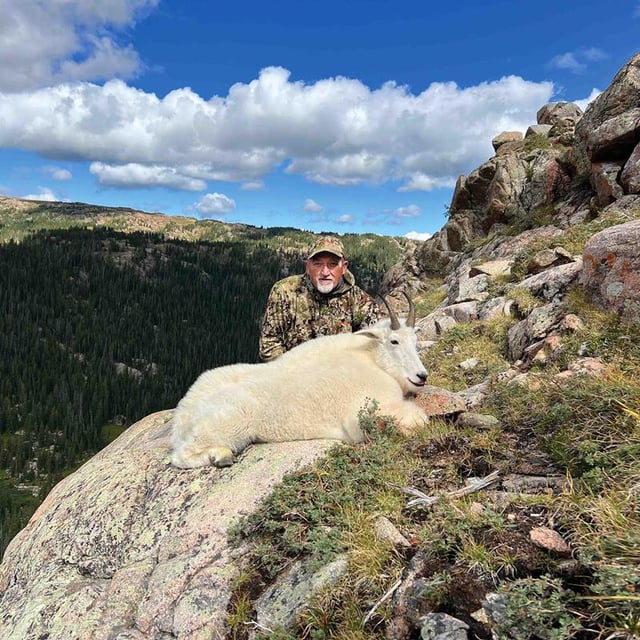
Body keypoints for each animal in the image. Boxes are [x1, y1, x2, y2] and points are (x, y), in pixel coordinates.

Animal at [171, 295, 428, 468]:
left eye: (415, 341)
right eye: (394, 341)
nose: (421, 376)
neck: (372, 360)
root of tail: (183, 416)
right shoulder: (362, 414)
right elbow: (419, 420)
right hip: (227, 427)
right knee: (180, 455)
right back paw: (221, 456)